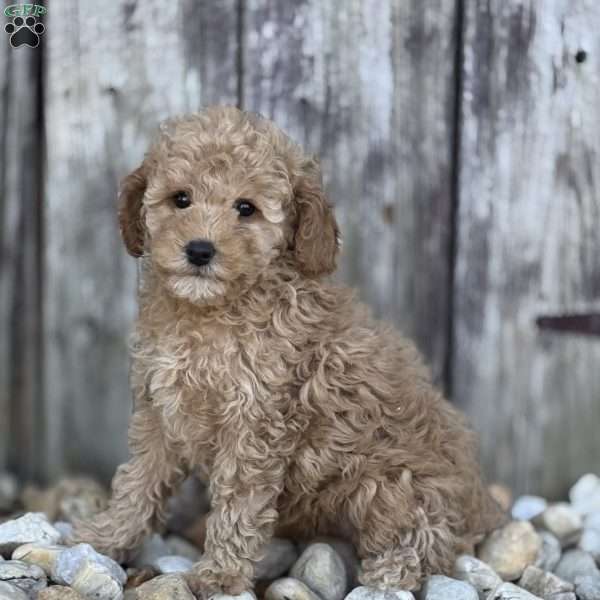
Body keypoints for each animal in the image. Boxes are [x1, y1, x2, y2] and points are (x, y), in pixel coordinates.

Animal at [71, 106, 506, 596]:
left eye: (246, 208)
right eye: (181, 199)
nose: (200, 250)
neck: (211, 313)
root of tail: (481, 503)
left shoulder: (255, 423)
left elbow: (238, 505)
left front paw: (219, 574)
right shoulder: (158, 413)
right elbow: (138, 484)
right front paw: (106, 538)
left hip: (390, 484)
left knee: (431, 535)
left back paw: (392, 569)